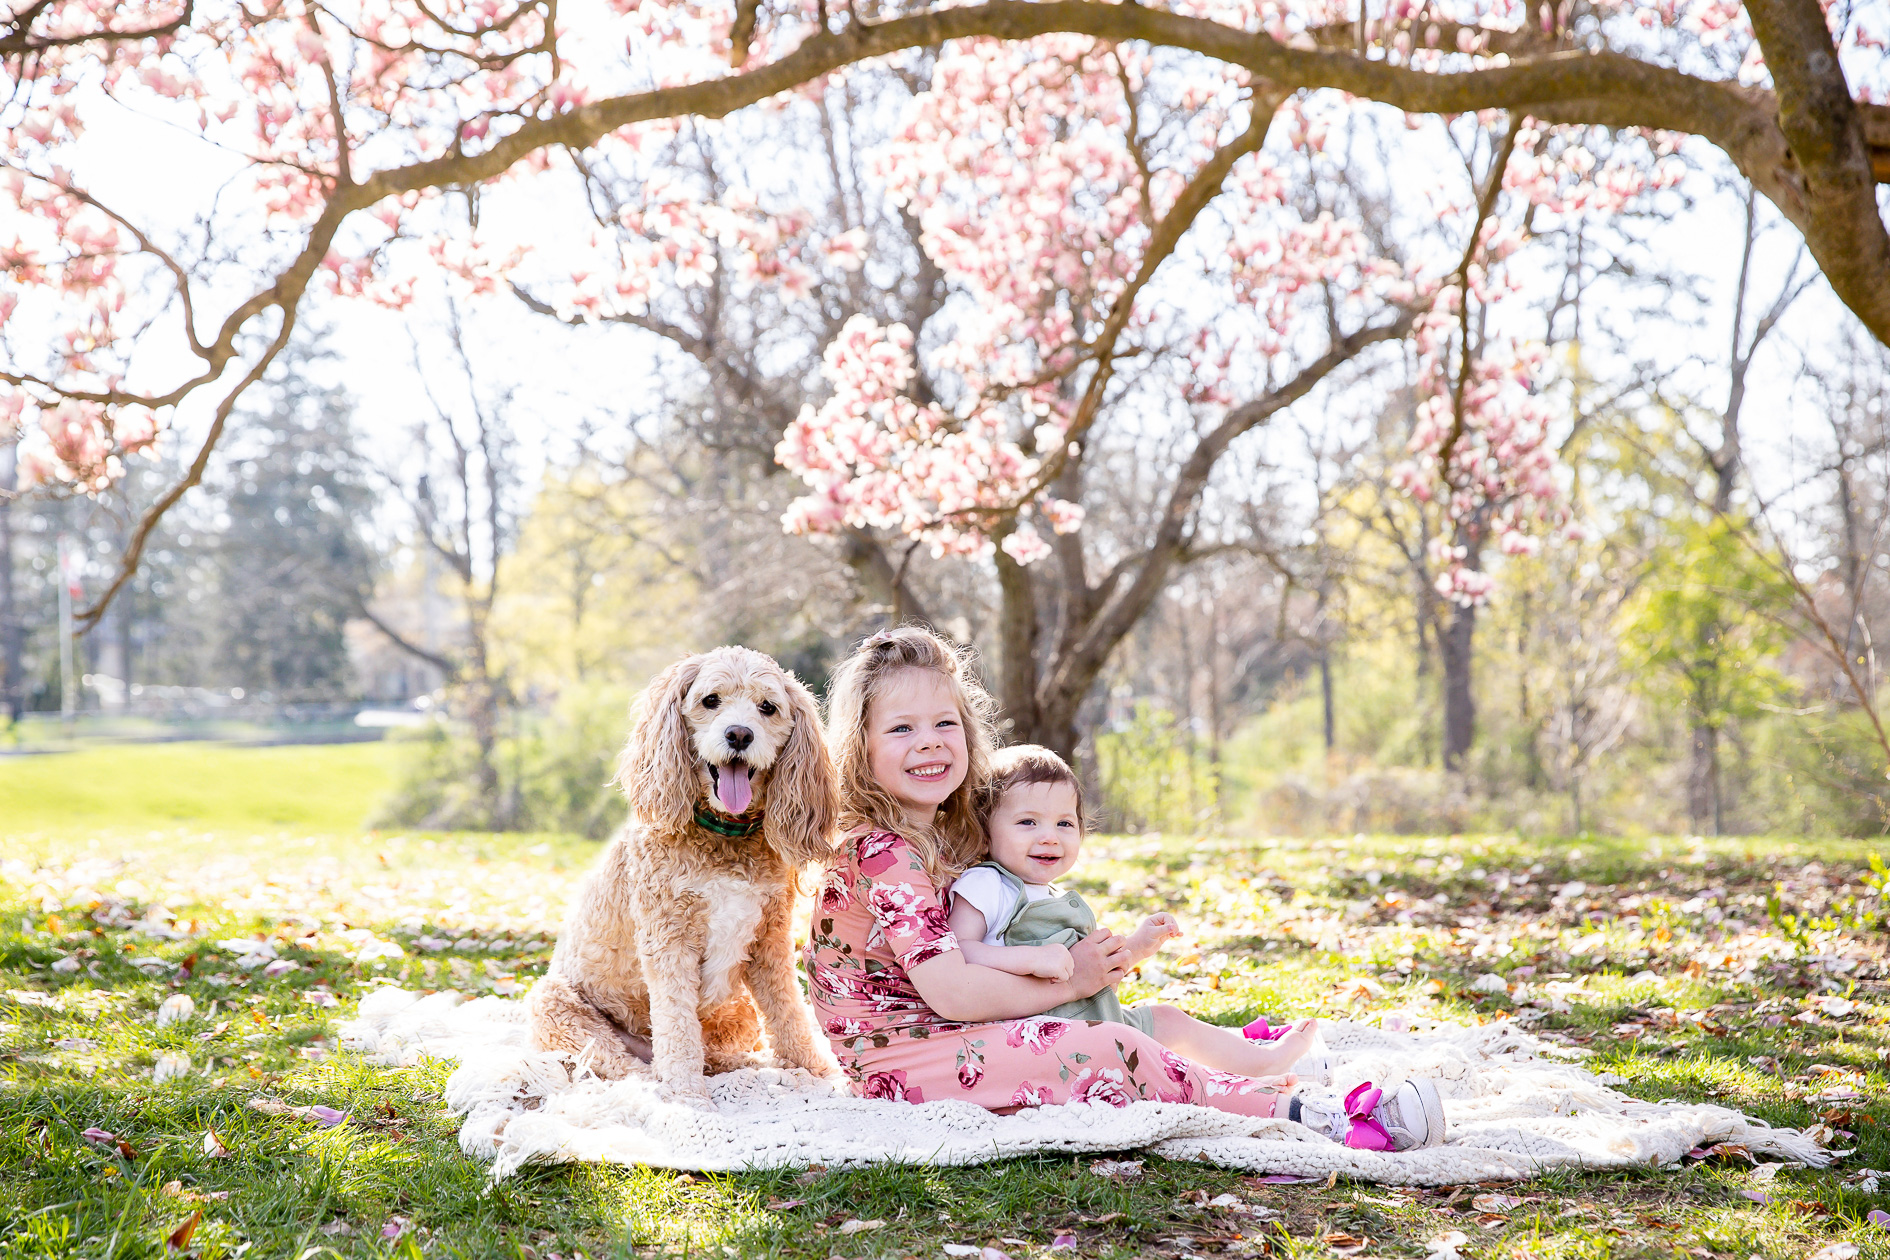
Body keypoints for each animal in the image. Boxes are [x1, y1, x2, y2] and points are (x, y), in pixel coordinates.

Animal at [521, 649, 839, 1095]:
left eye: (768, 707)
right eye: (710, 700)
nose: (739, 734)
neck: (724, 836)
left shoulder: (769, 940)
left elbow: (789, 1014)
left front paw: (817, 1072)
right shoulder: (668, 938)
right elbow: (678, 1027)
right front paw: (687, 1096)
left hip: (740, 1009)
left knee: (720, 1055)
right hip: (555, 1005)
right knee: (624, 1066)